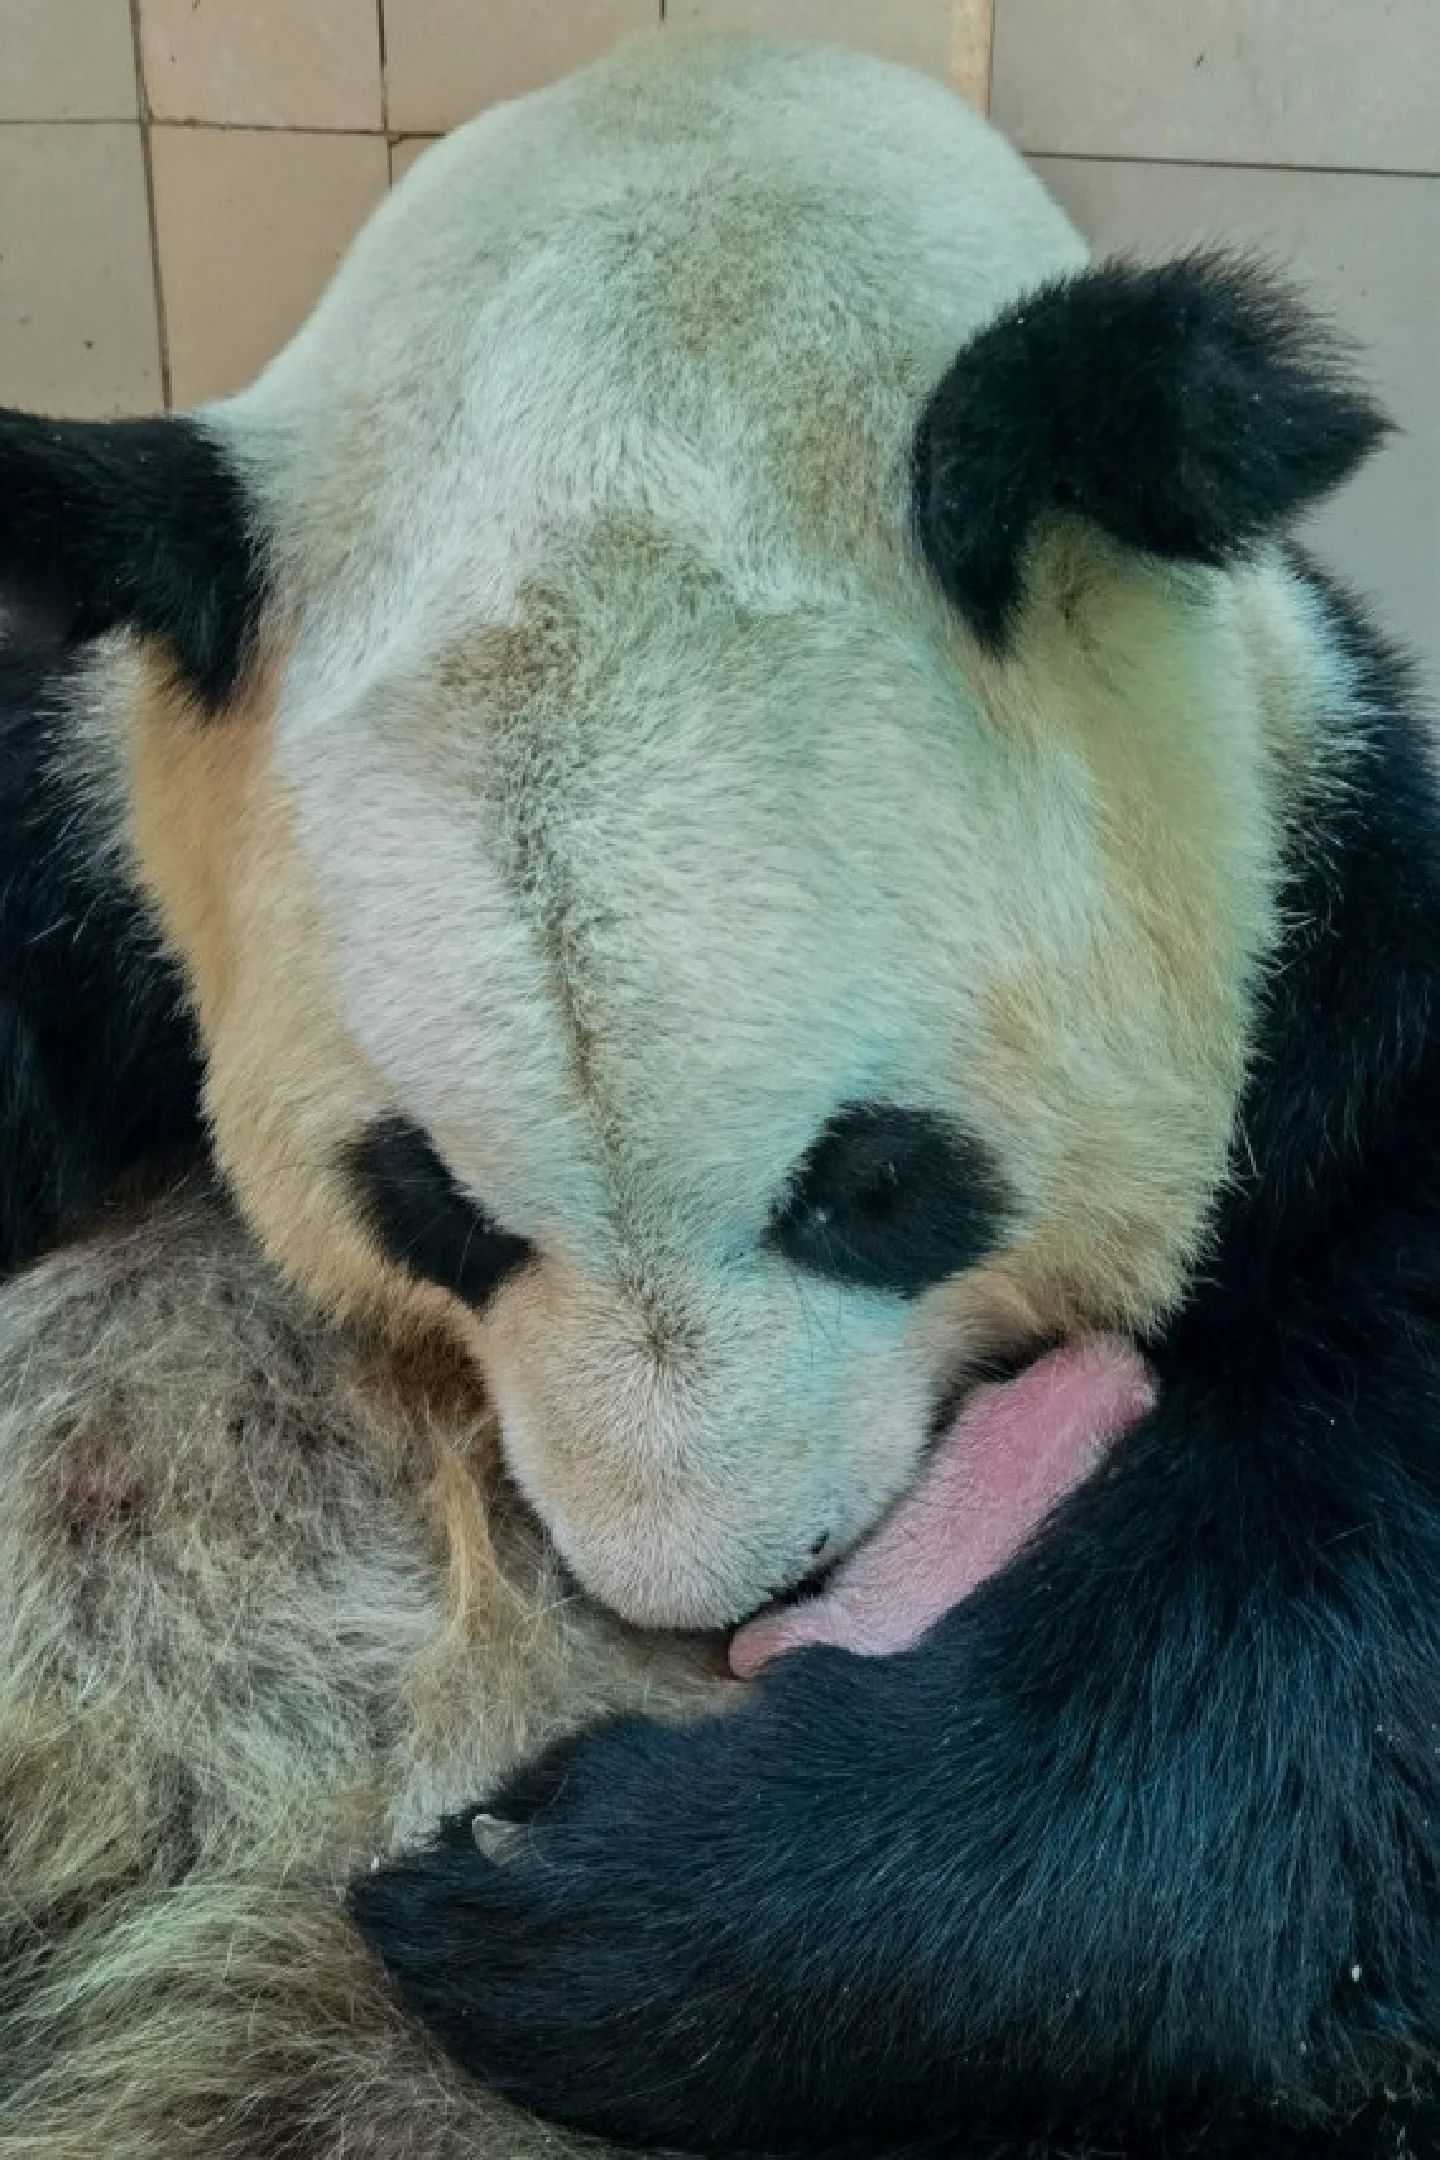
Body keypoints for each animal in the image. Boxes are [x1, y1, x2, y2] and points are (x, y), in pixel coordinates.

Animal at [1, 24, 1437, 2160]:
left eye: (873, 1184)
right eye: (428, 1203)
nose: (725, 1588)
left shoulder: (1344, 961)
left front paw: (549, 1879)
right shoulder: (99, 841)